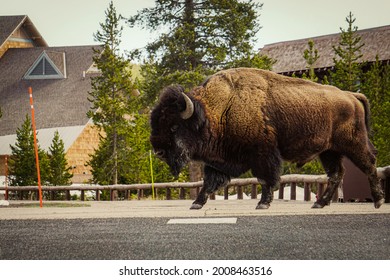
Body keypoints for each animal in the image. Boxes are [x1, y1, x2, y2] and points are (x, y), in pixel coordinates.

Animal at [151, 68, 386, 210]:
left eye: (174, 126)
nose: (158, 151)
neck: (217, 110)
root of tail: (351, 96)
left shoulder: (263, 155)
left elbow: (266, 179)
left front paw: (263, 203)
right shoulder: (219, 161)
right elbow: (209, 182)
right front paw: (196, 204)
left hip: (353, 144)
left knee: (369, 165)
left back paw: (378, 201)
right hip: (329, 151)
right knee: (336, 174)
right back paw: (320, 204)